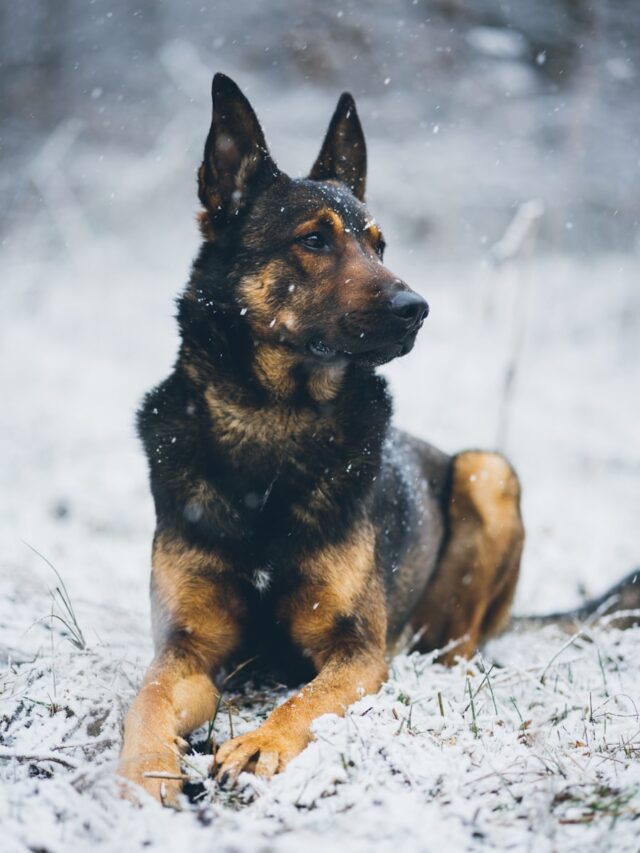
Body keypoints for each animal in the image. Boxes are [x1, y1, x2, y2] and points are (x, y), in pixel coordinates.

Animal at [117, 75, 636, 804]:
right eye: (313, 239)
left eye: (378, 245)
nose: (417, 309)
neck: (273, 424)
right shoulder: (186, 649)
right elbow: (147, 699)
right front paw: (143, 770)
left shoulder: (356, 651)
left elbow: (305, 699)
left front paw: (261, 742)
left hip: (488, 472)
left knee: (461, 645)